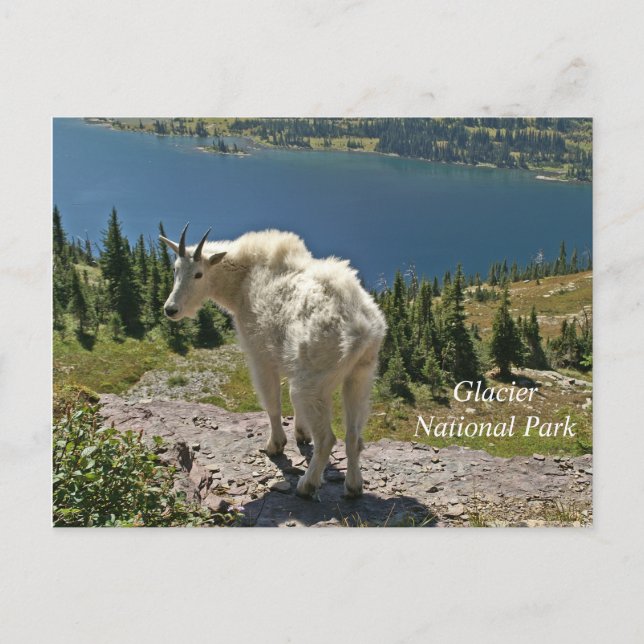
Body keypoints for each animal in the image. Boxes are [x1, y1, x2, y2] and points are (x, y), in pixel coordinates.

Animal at [160, 224, 386, 499]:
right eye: (175, 269)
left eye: (198, 274)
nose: (171, 309)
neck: (242, 280)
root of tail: (361, 329)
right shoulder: (289, 360)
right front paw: (301, 434)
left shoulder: (260, 355)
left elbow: (272, 402)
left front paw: (275, 445)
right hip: (361, 375)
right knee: (354, 436)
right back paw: (353, 487)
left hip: (313, 382)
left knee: (327, 439)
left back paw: (306, 486)